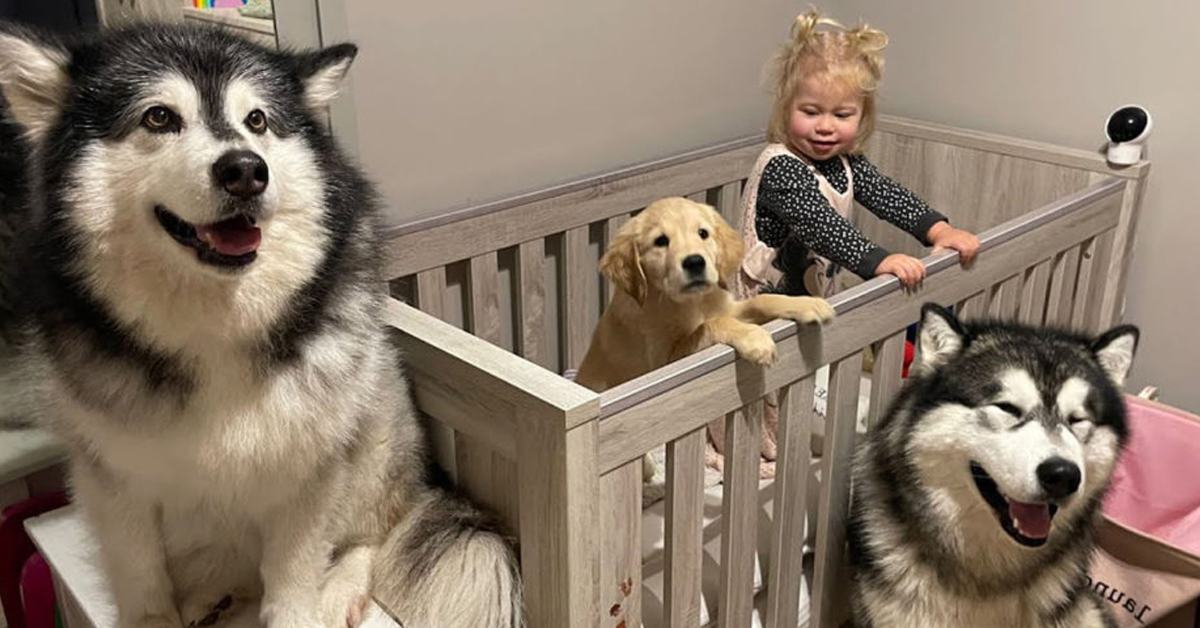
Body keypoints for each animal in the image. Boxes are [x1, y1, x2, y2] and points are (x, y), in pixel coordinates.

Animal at [576, 196, 830, 398]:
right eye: (660, 241)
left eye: (703, 233)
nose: (695, 262)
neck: (691, 302)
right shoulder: (664, 363)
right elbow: (711, 324)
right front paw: (755, 339)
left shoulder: (728, 307)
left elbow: (760, 301)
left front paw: (808, 303)